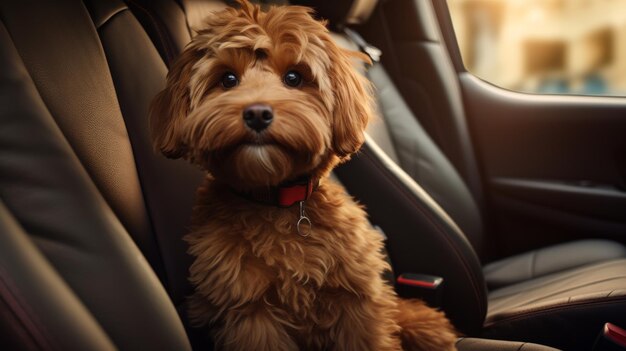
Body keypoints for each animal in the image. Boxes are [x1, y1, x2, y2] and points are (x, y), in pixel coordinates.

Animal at [149, 1, 456, 350]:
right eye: (227, 79)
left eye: (294, 77)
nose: (257, 113)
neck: (277, 202)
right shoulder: (250, 312)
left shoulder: (356, 299)